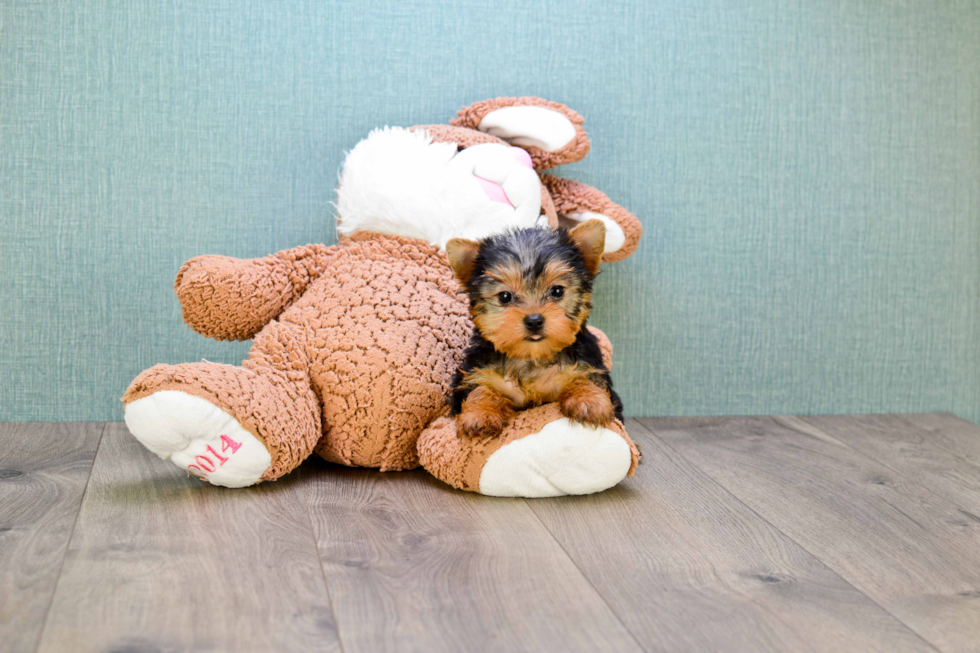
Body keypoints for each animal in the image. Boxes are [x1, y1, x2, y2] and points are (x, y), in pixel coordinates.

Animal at [444, 219, 620, 438]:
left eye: (557, 291)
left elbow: (585, 377)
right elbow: (480, 388)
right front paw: (479, 415)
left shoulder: (584, 363)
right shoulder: (479, 369)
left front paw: (590, 401)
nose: (534, 320)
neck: (531, 357)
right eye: (505, 297)